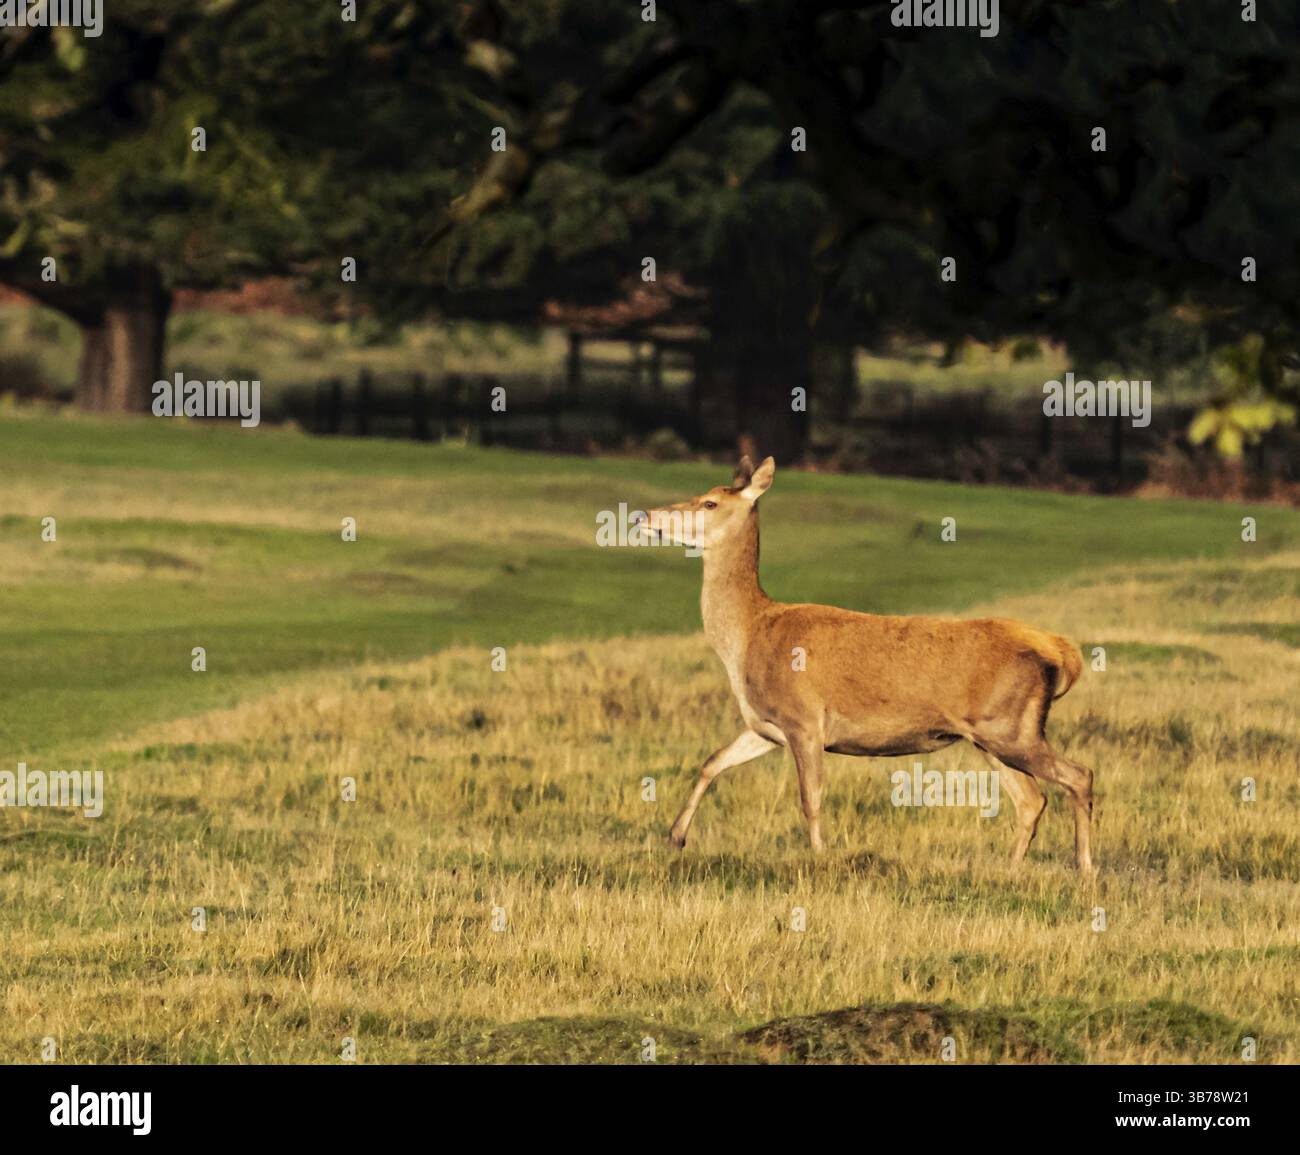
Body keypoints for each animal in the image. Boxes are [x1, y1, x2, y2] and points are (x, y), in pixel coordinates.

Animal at [634, 456, 1095, 871]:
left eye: (710, 502)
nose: (644, 515)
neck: (749, 636)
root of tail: (1058, 650)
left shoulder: (805, 719)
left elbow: (811, 796)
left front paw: (819, 857)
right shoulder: (766, 726)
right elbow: (712, 761)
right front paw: (675, 837)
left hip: (1011, 727)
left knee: (1078, 776)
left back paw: (1085, 868)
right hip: (989, 735)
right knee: (1032, 798)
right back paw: (1012, 869)